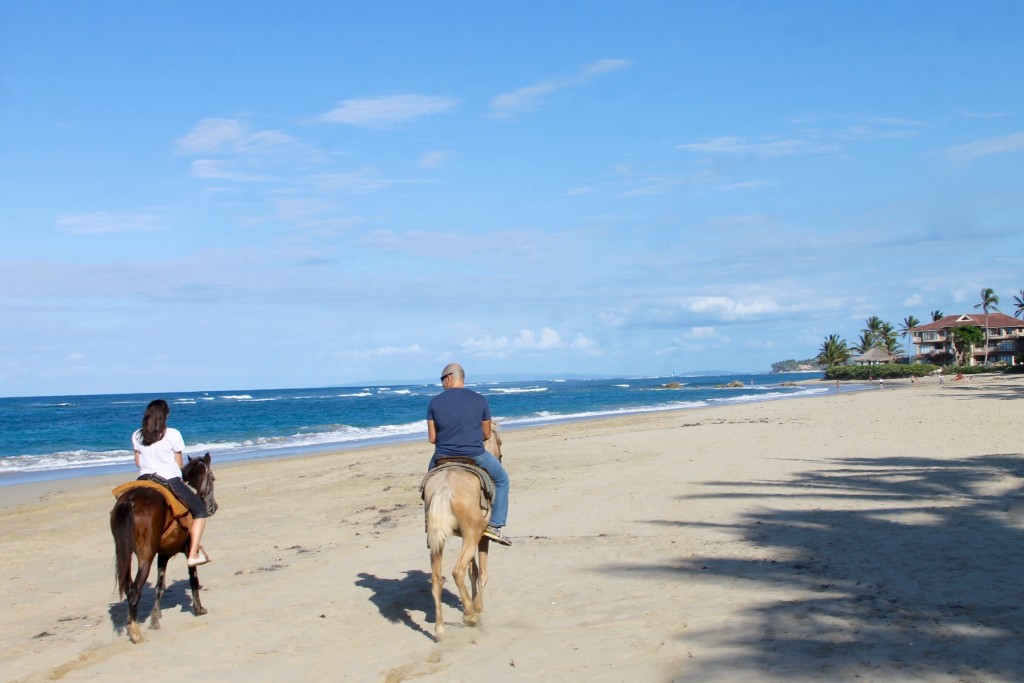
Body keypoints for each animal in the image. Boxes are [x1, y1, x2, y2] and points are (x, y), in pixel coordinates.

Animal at [111, 454, 217, 643]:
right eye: (212, 478)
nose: (213, 508)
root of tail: (129, 502)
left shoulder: (163, 554)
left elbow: (160, 585)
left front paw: (155, 618)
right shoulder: (188, 548)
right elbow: (193, 579)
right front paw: (198, 608)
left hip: (124, 552)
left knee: (128, 586)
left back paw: (132, 624)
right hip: (146, 555)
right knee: (135, 590)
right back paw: (135, 632)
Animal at [421, 428, 501, 643]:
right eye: (500, 441)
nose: (500, 456)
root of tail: (444, 488)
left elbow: (472, 571)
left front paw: (471, 604)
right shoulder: (482, 537)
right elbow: (481, 573)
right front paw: (477, 607)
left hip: (438, 541)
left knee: (437, 580)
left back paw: (440, 629)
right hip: (473, 535)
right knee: (457, 571)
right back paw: (470, 617)